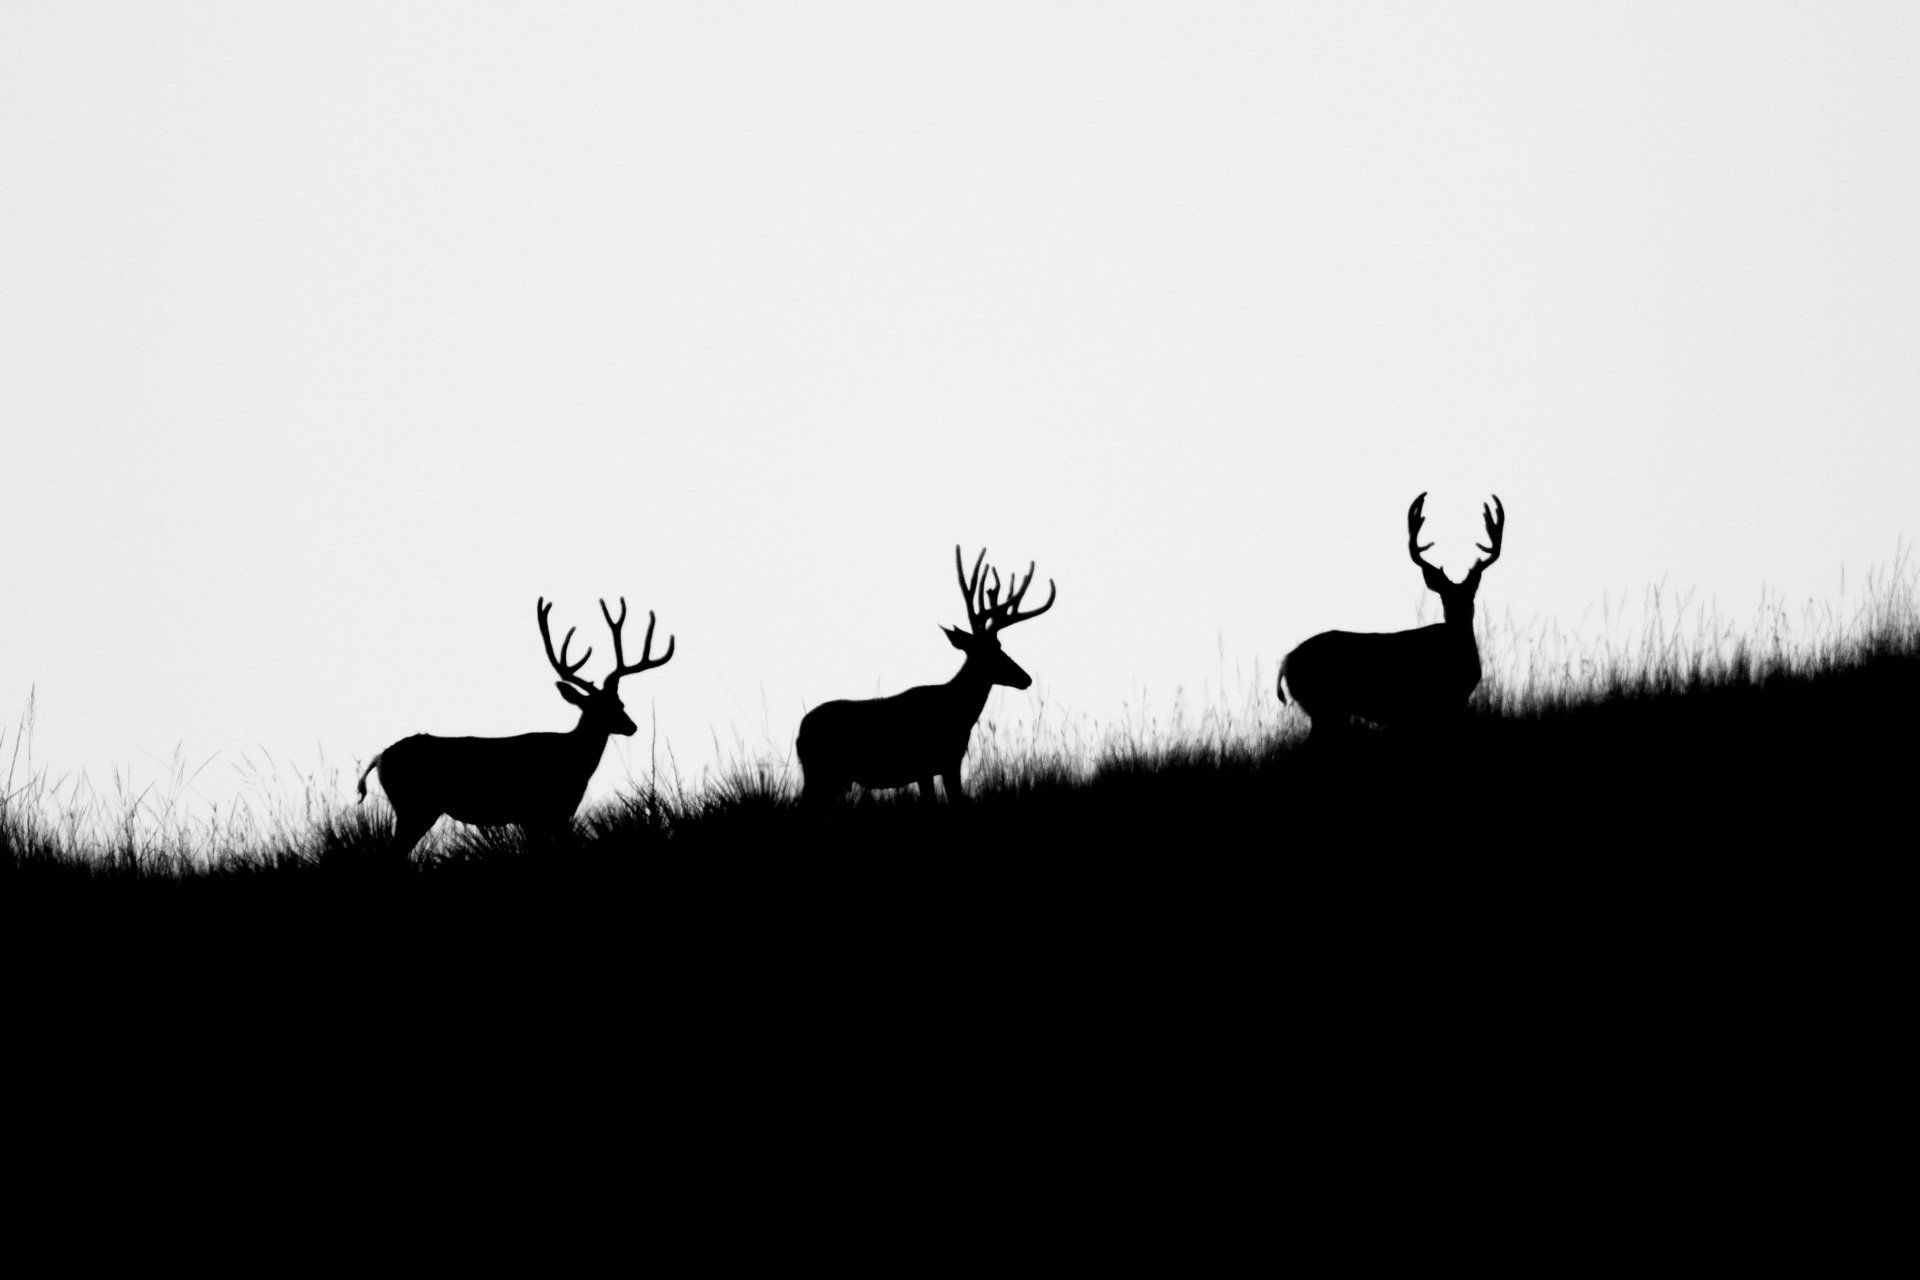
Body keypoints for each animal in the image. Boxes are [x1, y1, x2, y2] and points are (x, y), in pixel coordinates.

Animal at [355, 597, 674, 859]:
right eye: (602, 707)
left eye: (619, 702)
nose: (632, 726)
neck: (573, 759)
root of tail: (379, 758)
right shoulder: (542, 810)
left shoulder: (547, 814)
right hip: (415, 806)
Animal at [797, 546, 1056, 805]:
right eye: (989, 650)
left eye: (999, 645)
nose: (1026, 678)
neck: (958, 712)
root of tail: (800, 733)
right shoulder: (941, 762)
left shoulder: (935, 767)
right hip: (823, 772)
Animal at [1277, 493, 1504, 745]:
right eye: (1444, 597)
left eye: (1471, 595)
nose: (1458, 613)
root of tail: (1286, 661)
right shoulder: (1431, 706)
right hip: (1324, 706)